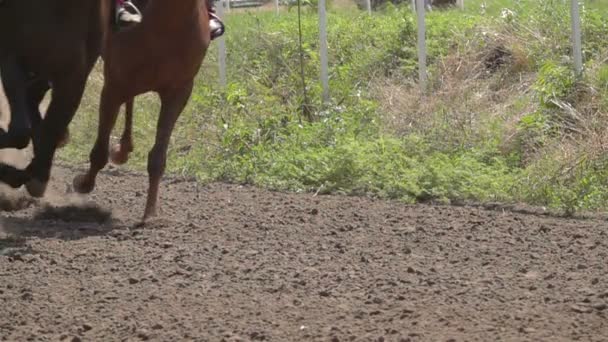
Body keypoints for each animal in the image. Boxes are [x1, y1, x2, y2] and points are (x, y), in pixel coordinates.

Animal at [73, 0, 213, 222]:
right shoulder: (113, 87)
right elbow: (99, 152)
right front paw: (83, 183)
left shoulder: (179, 91)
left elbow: (158, 156)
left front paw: (150, 213)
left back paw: (124, 148)